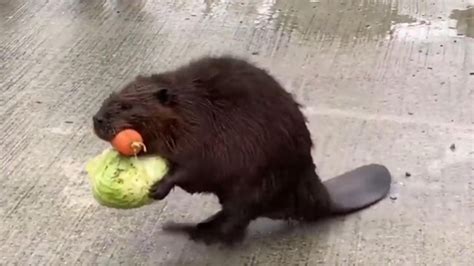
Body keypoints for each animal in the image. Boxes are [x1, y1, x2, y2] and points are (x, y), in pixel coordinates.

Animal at [90, 54, 390, 245]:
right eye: (110, 98)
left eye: (126, 106)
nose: (97, 119)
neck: (190, 107)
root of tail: (321, 195)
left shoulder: (203, 133)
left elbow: (192, 166)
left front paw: (158, 187)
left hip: (256, 184)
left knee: (237, 219)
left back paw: (195, 232)